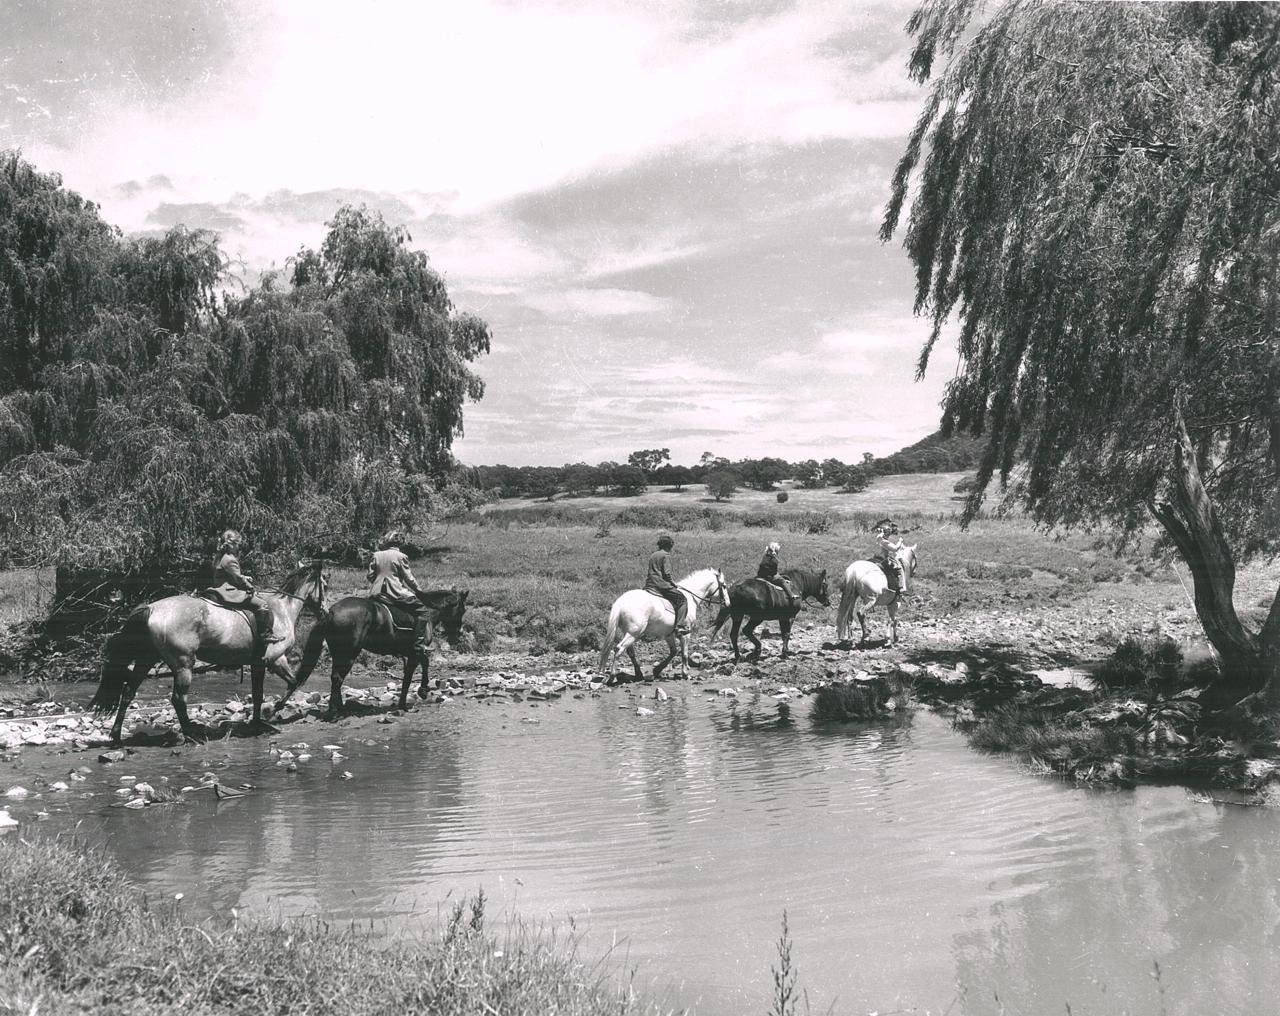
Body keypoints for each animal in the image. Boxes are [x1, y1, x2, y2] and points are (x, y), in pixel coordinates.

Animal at [272, 586, 468, 721]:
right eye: (462, 610)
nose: (456, 637)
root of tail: (332, 611)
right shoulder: (415, 652)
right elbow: (421, 668)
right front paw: (422, 692)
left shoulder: (409, 653)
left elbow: (408, 676)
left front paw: (407, 700)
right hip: (349, 654)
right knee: (337, 678)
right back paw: (335, 712)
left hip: (339, 653)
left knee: (336, 678)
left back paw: (339, 708)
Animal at [599, 565, 732, 685]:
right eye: (724, 586)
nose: (728, 604)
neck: (690, 597)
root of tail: (621, 602)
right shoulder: (685, 633)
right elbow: (684, 653)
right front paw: (685, 674)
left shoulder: (669, 634)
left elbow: (673, 651)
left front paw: (657, 670)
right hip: (633, 633)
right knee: (619, 649)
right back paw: (612, 677)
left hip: (629, 632)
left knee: (630, 652)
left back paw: (638, 674)